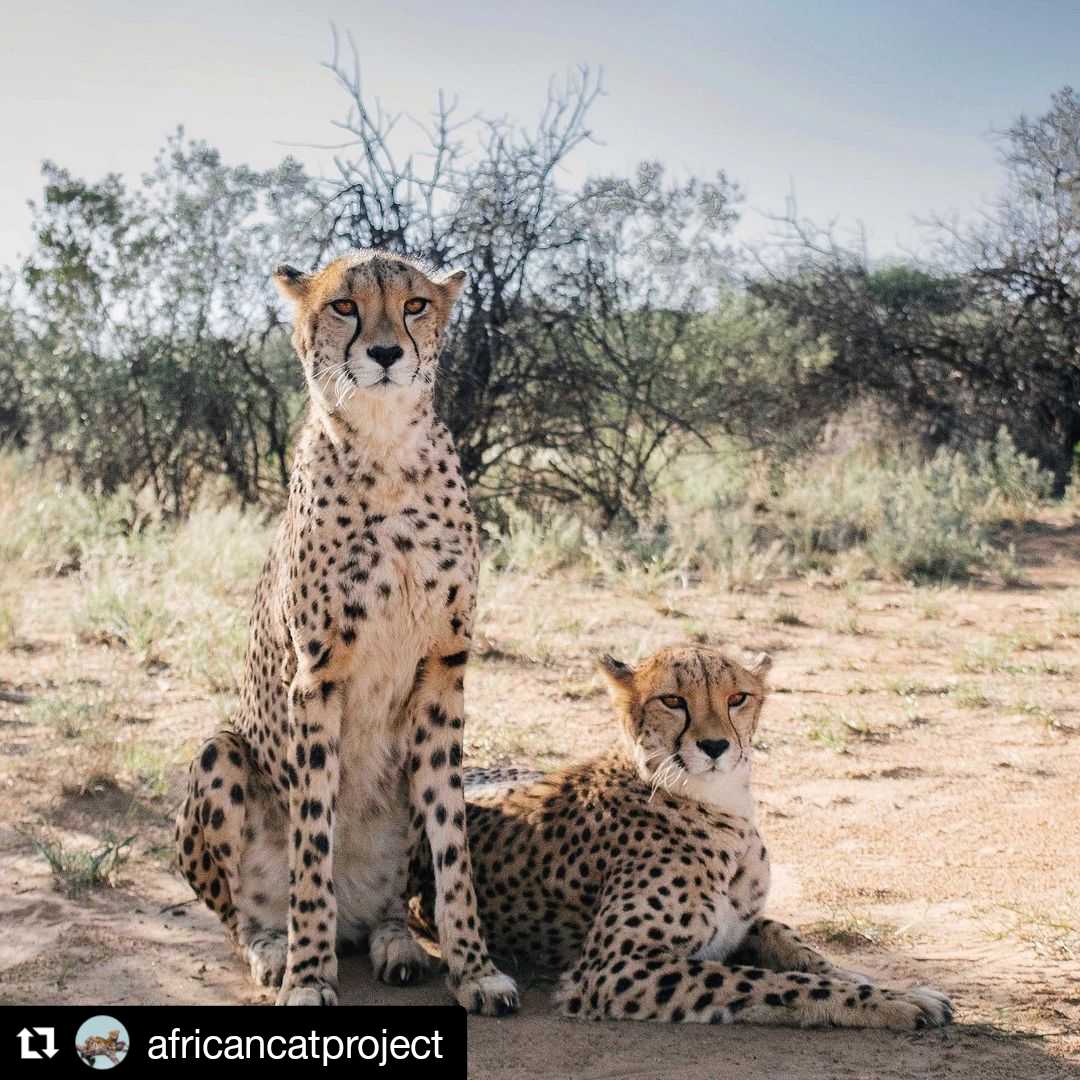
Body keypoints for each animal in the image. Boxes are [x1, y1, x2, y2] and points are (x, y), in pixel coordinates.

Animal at [175, 249, 517, 1013]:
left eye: (415, 304)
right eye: (343, 306)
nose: (386, 353)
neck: (388, 450)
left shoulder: (444, 671)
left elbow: (453, 845)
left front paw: (475, 969)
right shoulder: (316, 673)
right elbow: (311, 843)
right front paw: (308, 977)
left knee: (389, 900)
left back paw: (395, 944)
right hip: (219, 752)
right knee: (240, 912)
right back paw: (276, 948)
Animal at [411, 644, 953, 1029]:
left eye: (737, 698)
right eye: (672, 701)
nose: (714, 746)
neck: (718, 803)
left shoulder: (738, 925)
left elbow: (793, 943)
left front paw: (881, 982)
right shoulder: (615, 967)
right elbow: (774, 983)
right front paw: (892, 1002)